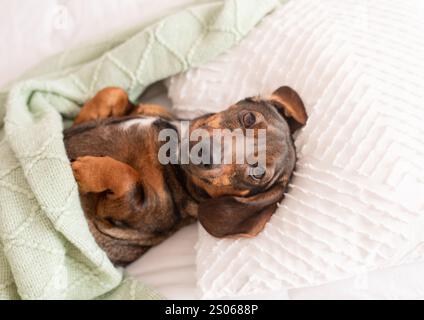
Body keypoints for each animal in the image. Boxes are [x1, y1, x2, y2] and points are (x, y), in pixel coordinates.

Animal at [63, 85, 308, 264]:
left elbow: (127, 177)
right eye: (249, 118)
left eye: (257, 174)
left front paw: (83, 170)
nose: (206, 152)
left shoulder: (130, 211)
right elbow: (114, 92)